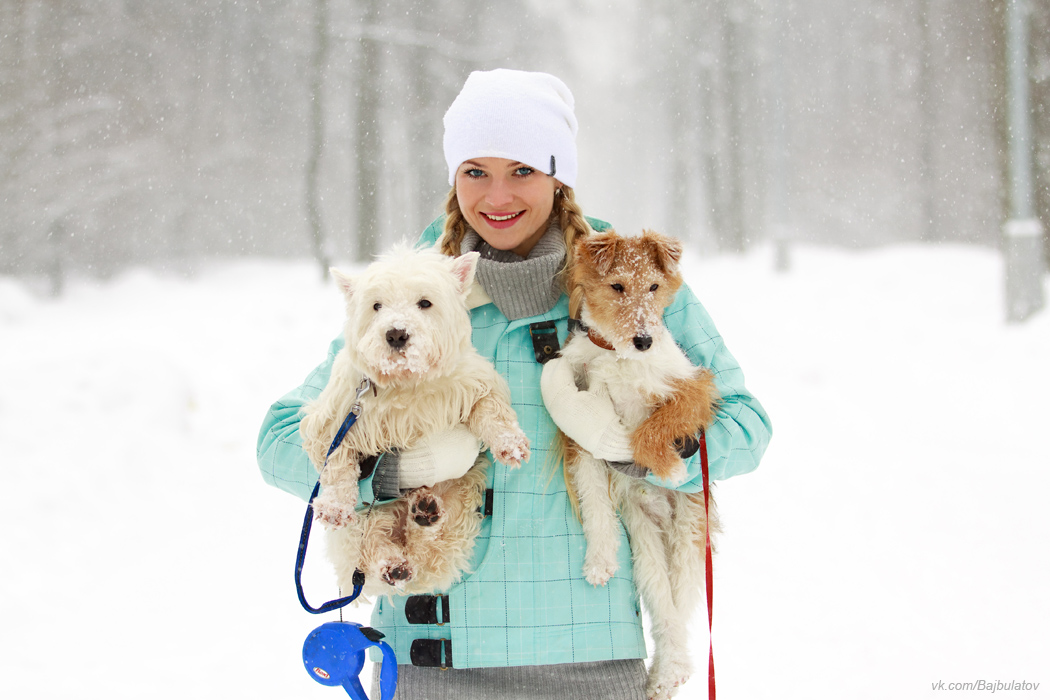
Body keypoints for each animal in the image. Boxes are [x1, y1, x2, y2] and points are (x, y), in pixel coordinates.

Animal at [302, 246, 533, 596]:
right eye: (376, 305)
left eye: (424, 303)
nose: (396, 333)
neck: (407, 383)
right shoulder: (336, 419)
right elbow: (337, 461)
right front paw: (333, 505)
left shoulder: (473, 385)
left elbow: (490, 409)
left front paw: (511, 444)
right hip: (370, 518)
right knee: (371, 543)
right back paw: (392, 562)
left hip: (460, 493)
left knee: (428, 542)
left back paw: (424, 515)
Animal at [541, 229, 722, 700]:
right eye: (617, 286)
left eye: (654, 287)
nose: (644, 341)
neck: (619, 356)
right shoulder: (582, 434)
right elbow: (594, 501)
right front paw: (599, 562)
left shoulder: (693, 387)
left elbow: (655, 426)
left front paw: (671, 467)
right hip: (644, 543)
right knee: (665, 609)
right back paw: (664, 676)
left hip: (690, 535)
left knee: (681, 604)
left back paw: (670, 670)